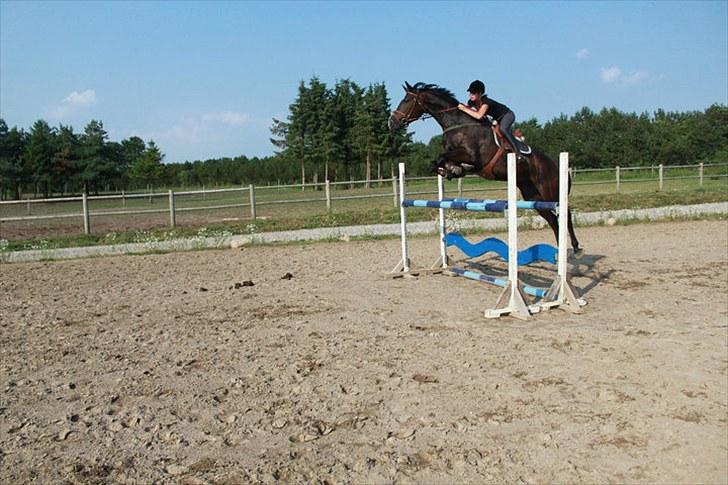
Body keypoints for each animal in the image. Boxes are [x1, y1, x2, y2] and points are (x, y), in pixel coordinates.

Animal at [386, 81, 580, 251]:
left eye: (407, 101)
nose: (391, 123)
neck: (457, 125)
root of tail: (556, 165)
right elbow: (438, 161)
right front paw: (452, 170)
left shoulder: (472, 156)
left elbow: (443, 157)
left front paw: (454, 169)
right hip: (533, 196)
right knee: (553, 220)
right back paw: (560, 250)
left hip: (549, 191)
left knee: (565, 214)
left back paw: (575, 247)